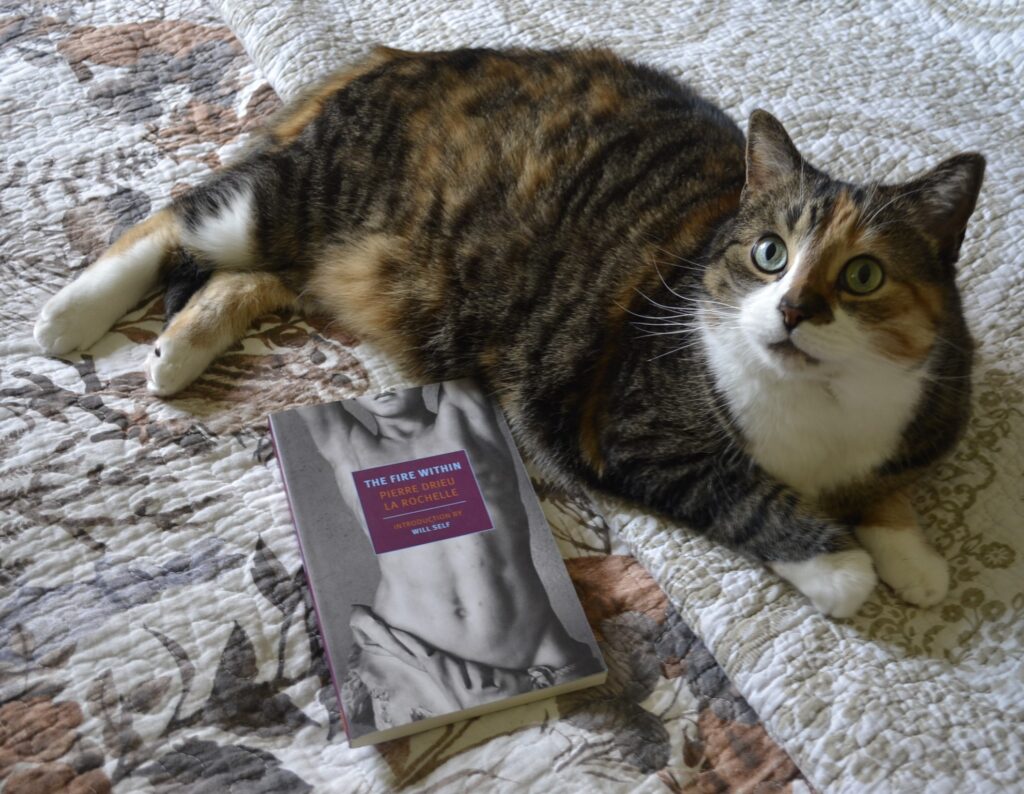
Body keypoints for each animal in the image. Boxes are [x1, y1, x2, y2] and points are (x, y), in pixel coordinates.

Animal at [34, 48, 983, 622]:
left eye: (863, 277)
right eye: (768, 253)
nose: (790, 311)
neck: (820, 406)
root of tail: (392, 60)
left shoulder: (923, 420)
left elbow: (888, 485)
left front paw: (912, 554)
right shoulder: (630, 430)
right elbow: (747, 494)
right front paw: (841, 566)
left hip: (328, 256)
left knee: (247, 271)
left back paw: (175, 351)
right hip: (301, 196)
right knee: (178, 214)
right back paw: (70, 315)